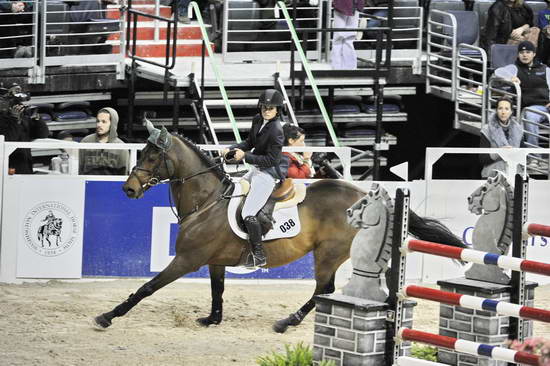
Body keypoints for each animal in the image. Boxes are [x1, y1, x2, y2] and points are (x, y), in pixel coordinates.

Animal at [92, 123, 468, 332]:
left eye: (152, 156)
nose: (128, 189)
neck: (207, 200)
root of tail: (363, 195)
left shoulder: (187, 259)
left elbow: (146, 288)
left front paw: (107, 317)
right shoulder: (213, 261)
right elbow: (217, 291)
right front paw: (212, 319)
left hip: (329, 253)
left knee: (322, 290)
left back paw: (288, 322)